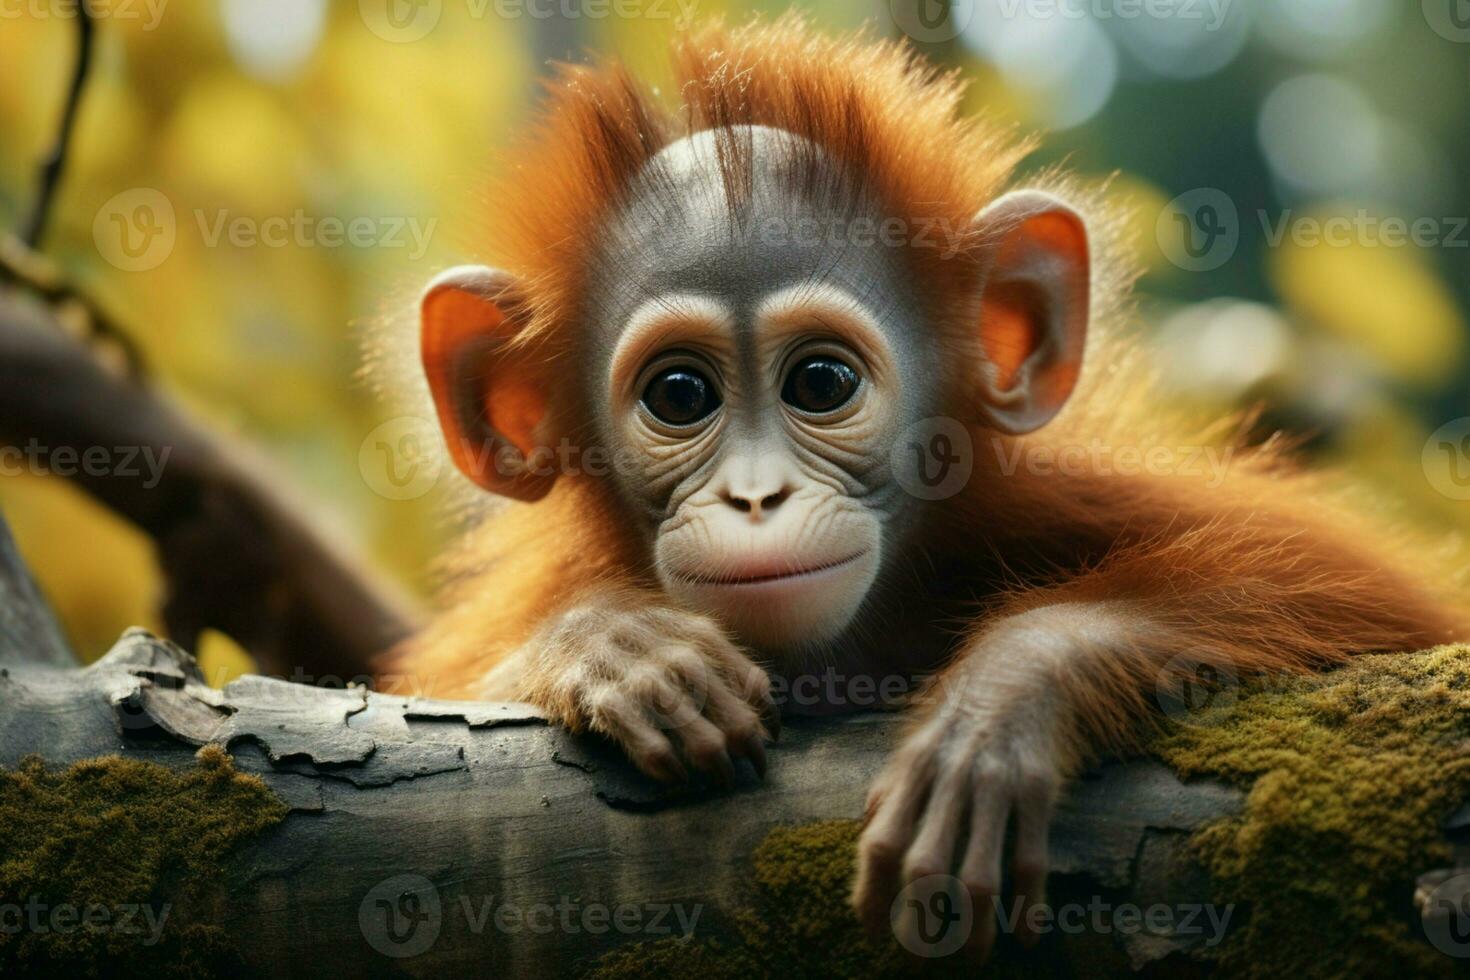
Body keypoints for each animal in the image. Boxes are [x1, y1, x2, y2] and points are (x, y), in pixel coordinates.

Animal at [382, 15, 1470, 963]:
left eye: (821, 382)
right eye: (679, 395)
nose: (754, 498)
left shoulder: (1050, 496)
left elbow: (1385, 610)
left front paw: (1007, 693)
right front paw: (610, 643)